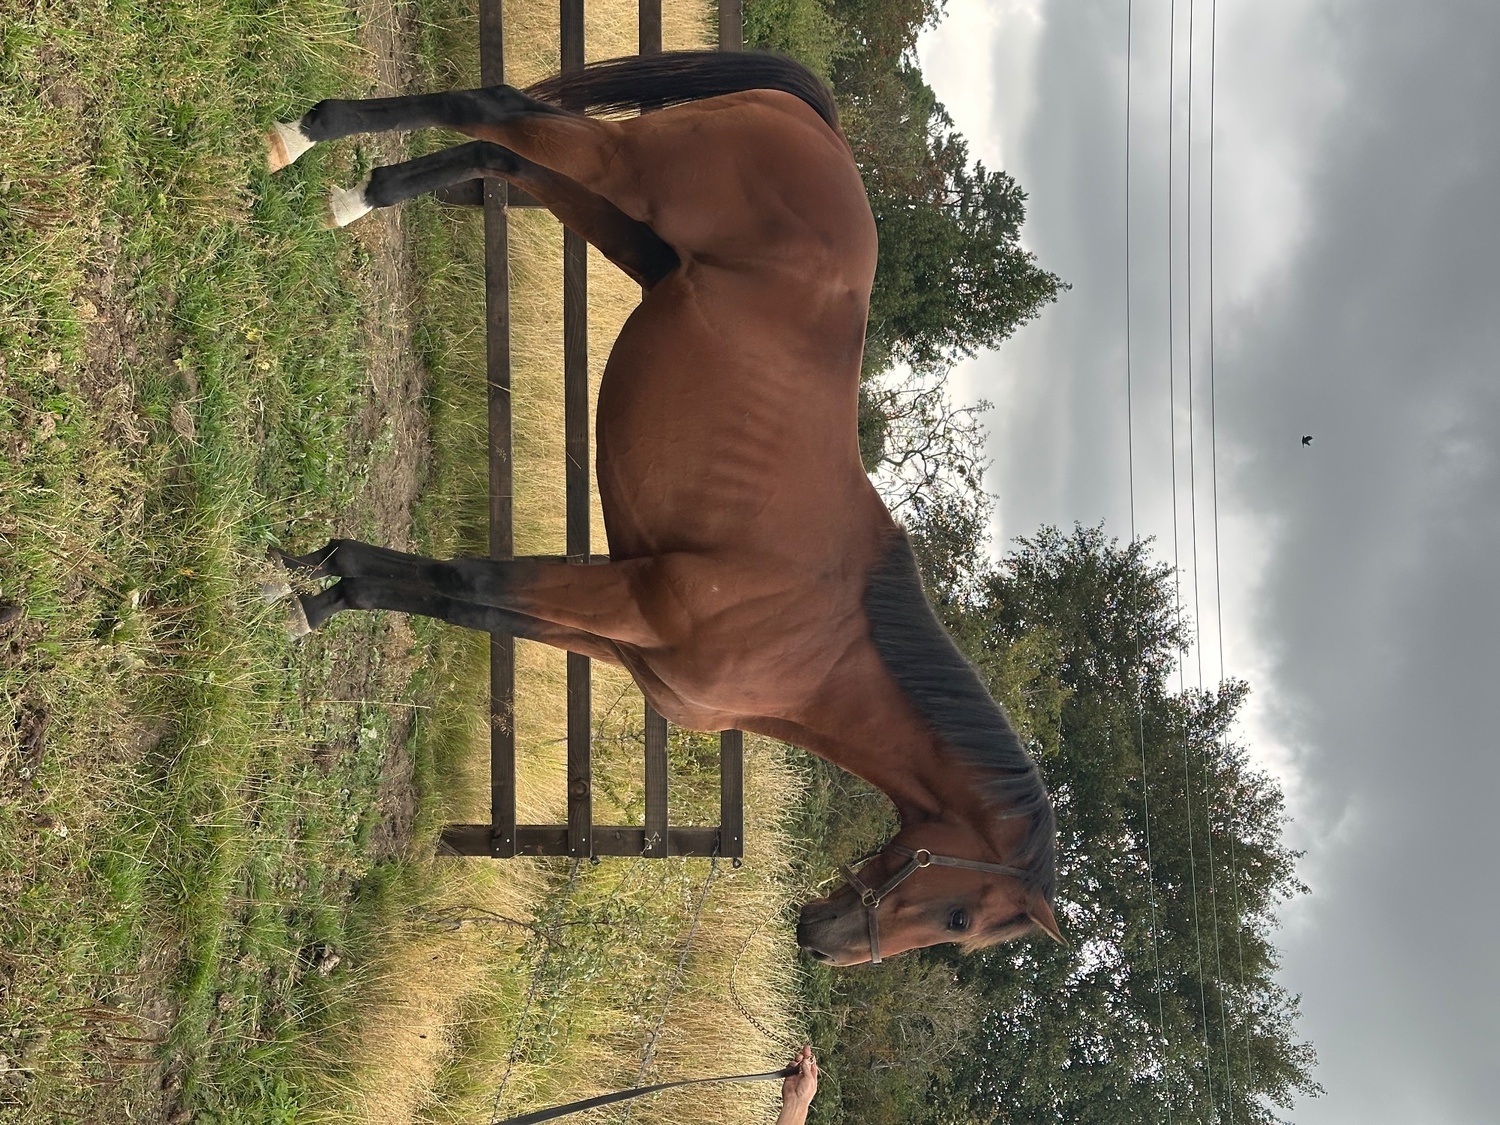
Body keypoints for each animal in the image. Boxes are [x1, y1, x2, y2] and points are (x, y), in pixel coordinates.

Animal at [265, 50, 1061, 965]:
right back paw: (305, 135)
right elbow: (468, 581)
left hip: (630, 233)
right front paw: (316, 586)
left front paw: (320, 582)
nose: (820, 938)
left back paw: (359, 193)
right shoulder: (634, 597)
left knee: (503, 156)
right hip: (629, 175)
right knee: (493, 108)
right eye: (962, 916)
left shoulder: (614, 627)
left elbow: (466, 599)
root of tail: (819, 131)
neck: (823, 644)